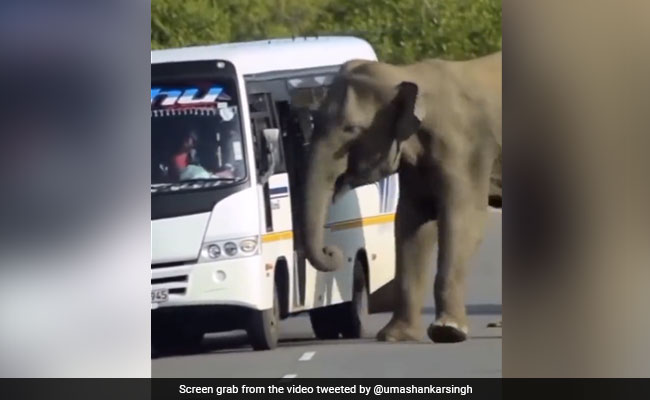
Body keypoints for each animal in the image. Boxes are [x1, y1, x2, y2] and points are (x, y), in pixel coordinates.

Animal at [302, 52, 502, 343]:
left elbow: (462, 221)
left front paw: (447, 331)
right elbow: (411, 224)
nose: (332, 251)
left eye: (352, 129)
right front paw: (395, 336)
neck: (406, 74)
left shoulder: (466, 149)